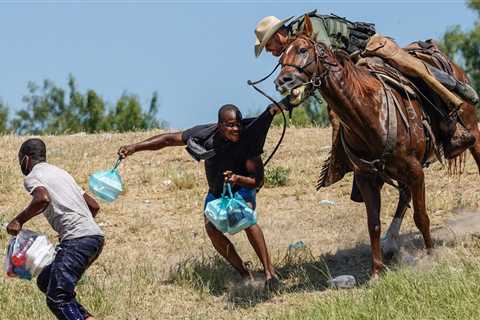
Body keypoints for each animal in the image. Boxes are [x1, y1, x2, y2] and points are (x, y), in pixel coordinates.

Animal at [274, 17, 480, 278]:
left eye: (303, 50)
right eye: (281, 57)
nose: (282, 82)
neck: (369, 111)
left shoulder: (415, 170)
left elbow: (421, 216)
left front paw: (431, 256)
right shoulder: (366, 177)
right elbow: (373, 223)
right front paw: (376, 271)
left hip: (472, 130)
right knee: (403, 195)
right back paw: (390, 242)